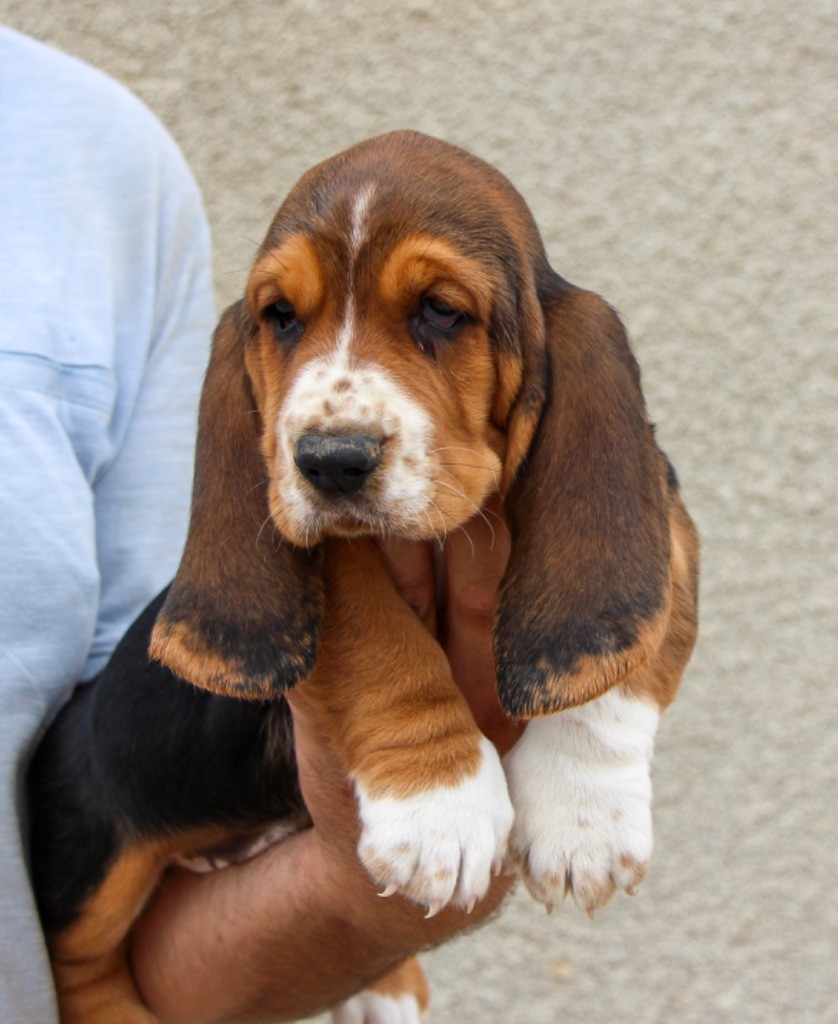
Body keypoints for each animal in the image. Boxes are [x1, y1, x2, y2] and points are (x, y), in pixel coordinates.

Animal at [29, 130, 699, 1023]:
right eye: (280, 317)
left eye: (441, 312)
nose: (329, 461)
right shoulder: (327, 560)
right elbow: (382, 641)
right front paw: (439, 808)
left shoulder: (669, 533)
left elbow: (616, 662)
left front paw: (582, 819)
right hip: (93, 849)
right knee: (82, 965)